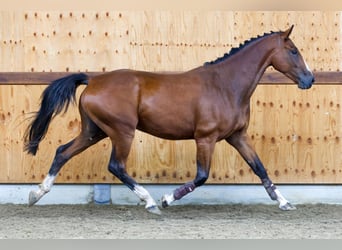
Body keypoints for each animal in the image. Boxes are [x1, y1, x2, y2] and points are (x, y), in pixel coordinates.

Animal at [24, 25, 316, 214]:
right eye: (293, 51)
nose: (309, 79)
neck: (226, 85)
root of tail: (93, 80)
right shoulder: (206, 138)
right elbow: (201, 176)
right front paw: (166, 199)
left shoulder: (237, 136)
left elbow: (260, 168)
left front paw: (284, 202)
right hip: (122, 132)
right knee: (116, 166)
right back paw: (151, 202)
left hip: (94, 131)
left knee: (63, 152)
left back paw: (36, 194)